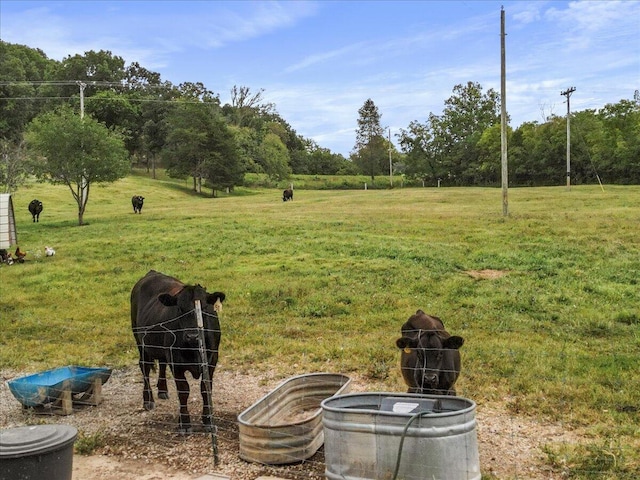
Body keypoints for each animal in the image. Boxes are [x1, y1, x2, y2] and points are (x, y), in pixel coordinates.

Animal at [130, 270, 225, 432]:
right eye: (180, 309)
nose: (192, 335)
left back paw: (162, 390)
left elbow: (206, 389)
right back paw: (148, 399)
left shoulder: (212, 359)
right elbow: (183, 391)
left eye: (204, 308)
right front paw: (185, 423)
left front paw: (208, 421)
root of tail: (151, 273)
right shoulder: (176, 362)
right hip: (139, 340)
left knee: (161, 364)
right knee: (145, 367)